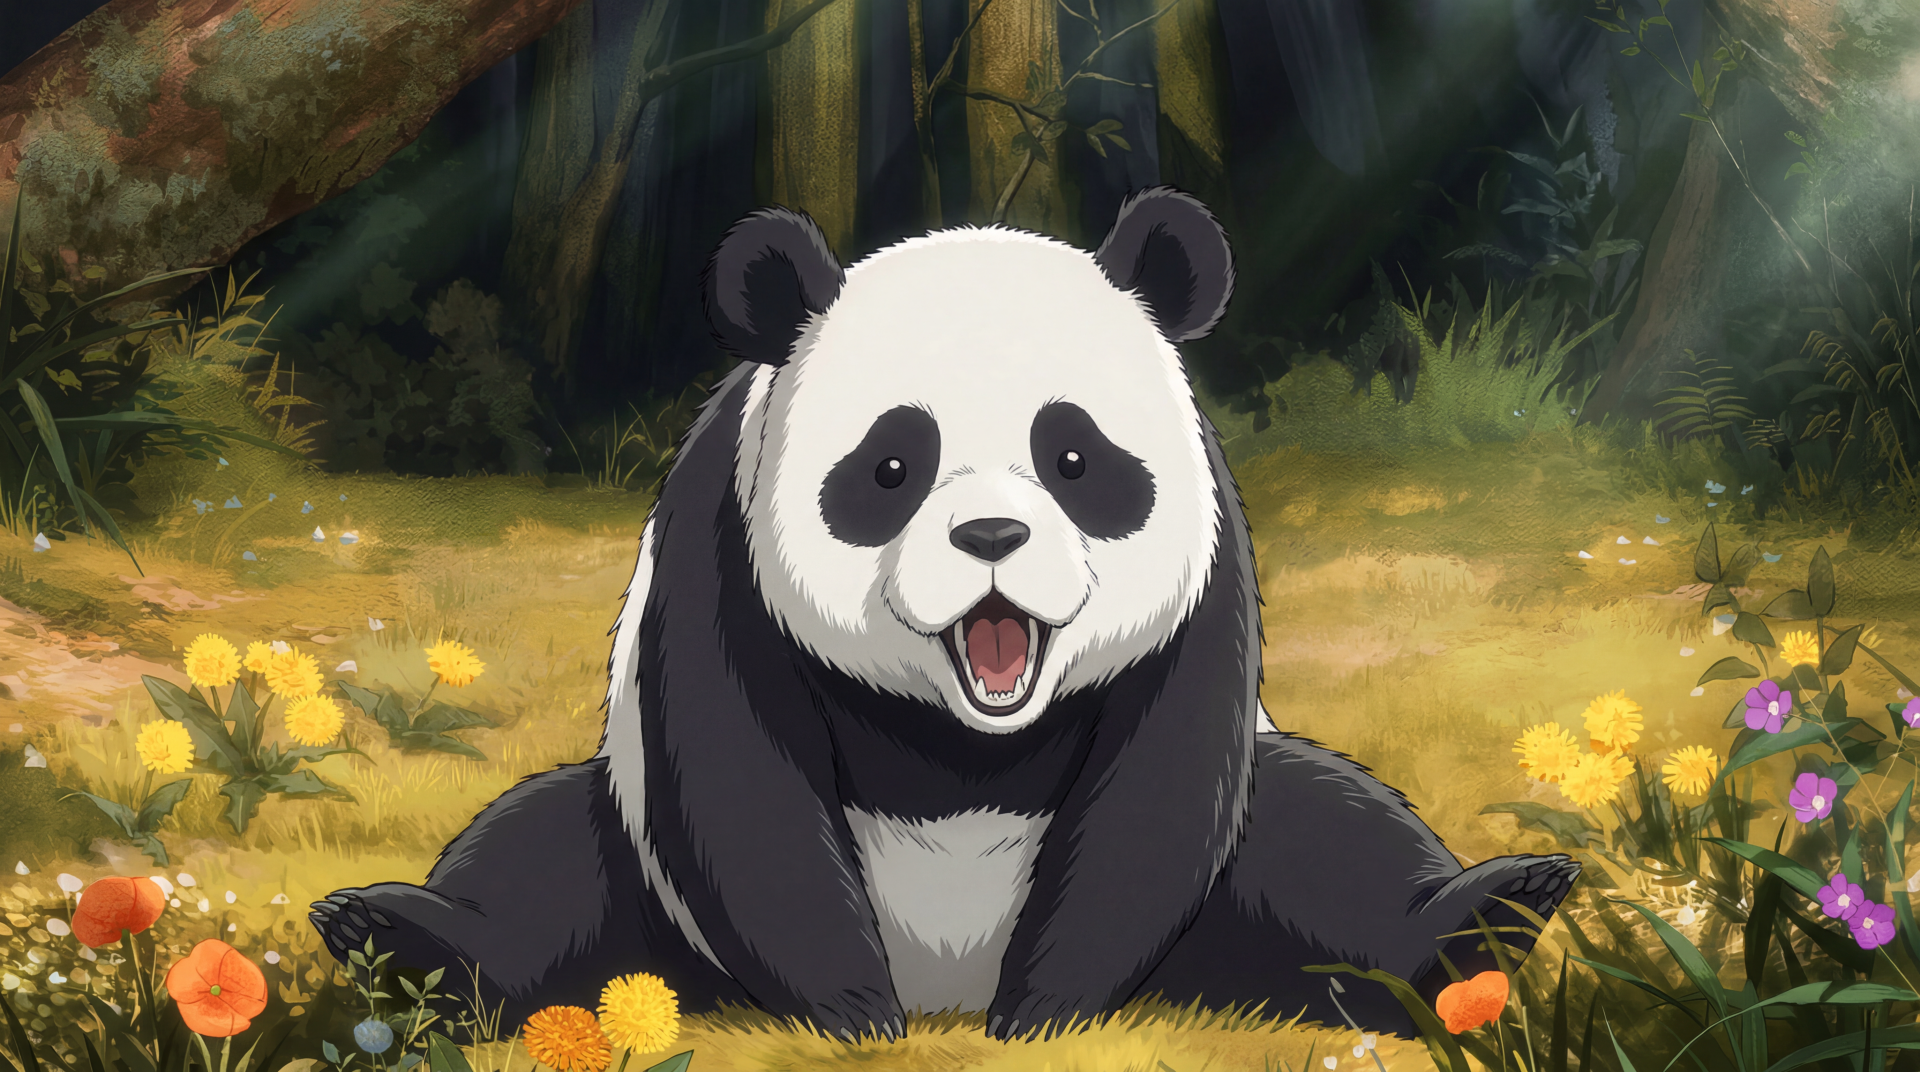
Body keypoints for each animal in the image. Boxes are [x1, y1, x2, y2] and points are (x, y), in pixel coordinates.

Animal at [311, 187, 1580, 1043]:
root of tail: (948, 981)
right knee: (536, 868)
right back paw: (393, 936)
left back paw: (1488, 920)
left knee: (1330, 839)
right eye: (890, 467)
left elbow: (1161, 789)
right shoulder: (716, 536)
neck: (968, 731)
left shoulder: (1209, 566)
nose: (993, 540)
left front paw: (1046, 1014)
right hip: (633, 873)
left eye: (1075, 457)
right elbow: (735, 777)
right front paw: (855, 1015)